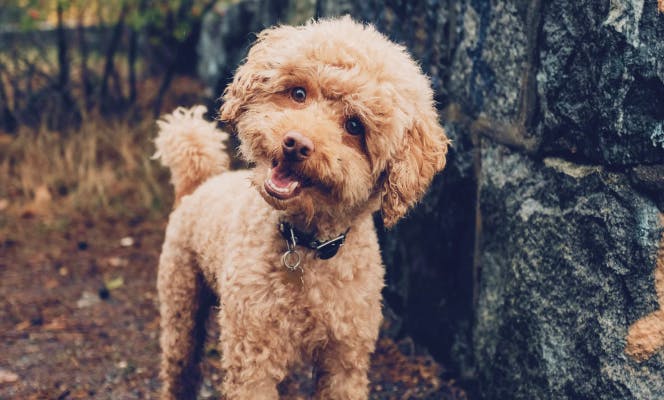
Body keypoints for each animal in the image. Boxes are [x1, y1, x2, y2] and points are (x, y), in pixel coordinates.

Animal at [153, 16, 448, 400]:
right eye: (298, 93)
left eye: (355, 125)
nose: (295, 143)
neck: (306, 243)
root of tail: (199, 184)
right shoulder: (252, 356)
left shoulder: (346, 358)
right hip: (181, 303)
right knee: (180, 367)